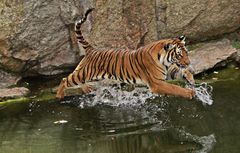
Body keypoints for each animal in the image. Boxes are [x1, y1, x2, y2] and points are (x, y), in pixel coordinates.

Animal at [56, 8, 195, 99]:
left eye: (186, 53)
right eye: (179, 54)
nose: (189, 63)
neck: (164, 61)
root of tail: (91, 49)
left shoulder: (166, 71)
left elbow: (177, 71)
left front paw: (190, 77)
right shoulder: (157, 83)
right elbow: (174, 88)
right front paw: (189, 93)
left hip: (89, 75)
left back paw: (86, 89)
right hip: (84, 74)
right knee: (65, 79)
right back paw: (59, 96)